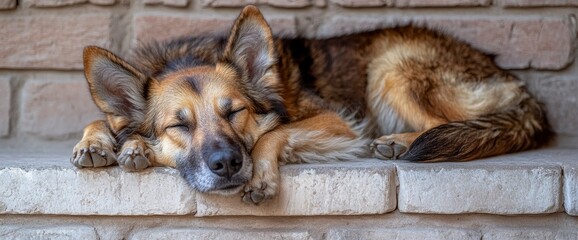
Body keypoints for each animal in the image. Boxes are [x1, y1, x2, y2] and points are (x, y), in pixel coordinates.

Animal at [71, 5, 548, 204]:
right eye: (178, 126)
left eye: (235, 112)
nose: (227, 165)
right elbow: (101, 120)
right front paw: (109, 144)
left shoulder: (340, 124)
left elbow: (276, 132)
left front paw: (260, 175)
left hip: (392, 67)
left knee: (460, 121)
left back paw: (399, 140)